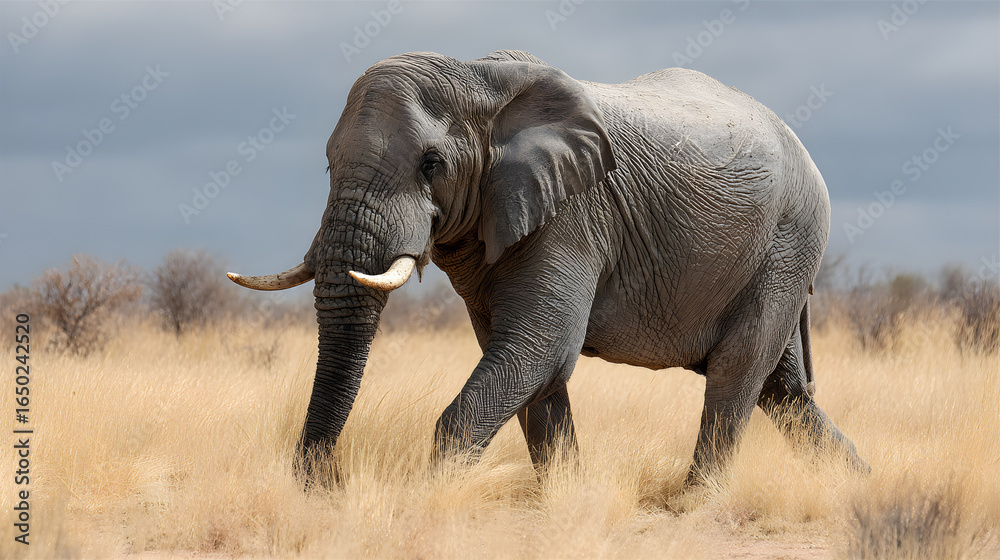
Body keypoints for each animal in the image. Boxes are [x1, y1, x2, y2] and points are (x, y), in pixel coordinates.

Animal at [228, 50, 869, 482]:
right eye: (328, 164)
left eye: (432, 165)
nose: (324, 484)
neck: (476, 78)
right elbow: (532, 365)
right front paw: (565, 493)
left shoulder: (572, 216)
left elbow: (540, 346)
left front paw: (431, 496)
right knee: (783, 389)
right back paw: (857, 483)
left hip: (789, 240)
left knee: (739, 370)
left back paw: (695, 502)